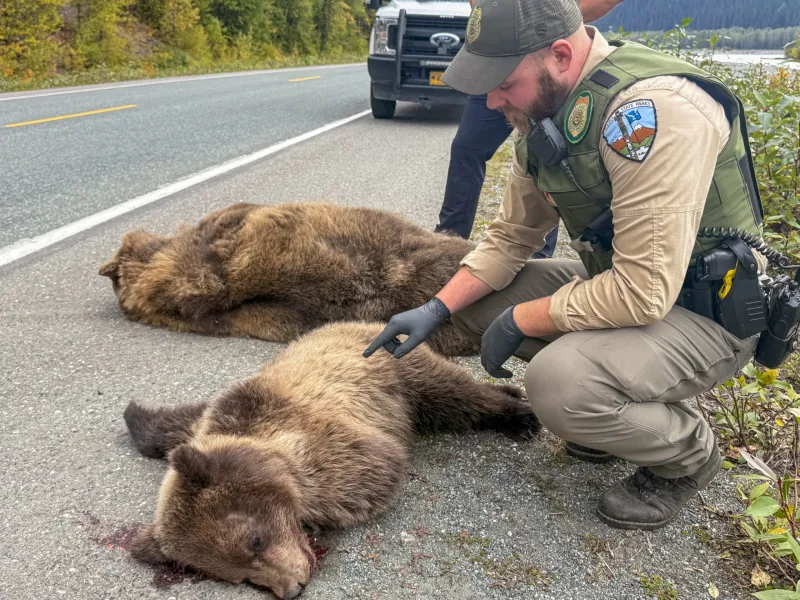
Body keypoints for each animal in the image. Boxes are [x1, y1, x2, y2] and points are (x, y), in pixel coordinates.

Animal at [124, 322, 540, 599]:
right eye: (240, 577)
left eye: (255, 541)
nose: (292, 588)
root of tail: (349, 321)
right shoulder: (204, 422)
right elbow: (169, 426)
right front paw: (135, 414)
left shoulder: (333, 448)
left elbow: (371, 477)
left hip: (398, 369)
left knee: (452, 395)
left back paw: (520, 416)